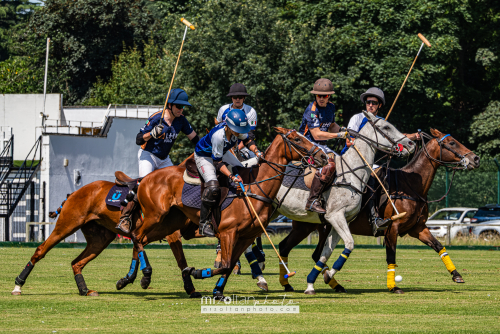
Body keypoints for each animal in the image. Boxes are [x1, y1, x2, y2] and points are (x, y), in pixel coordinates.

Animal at [127, 126, 326, 298]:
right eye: (296, 139)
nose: (323, 156)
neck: (255, 188)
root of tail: (144, 179)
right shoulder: (227, 233)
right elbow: (225, 264)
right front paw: (197, 272)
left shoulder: (246, 236)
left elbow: (229, 266)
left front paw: (218, 292)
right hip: (155, 215)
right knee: (137, 236)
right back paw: (145, 275)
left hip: (169, 222)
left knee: (141, 239)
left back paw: (129, 279)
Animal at [278, 129, 480, 294]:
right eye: (452, 143)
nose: (475, 159)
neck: (412, 186)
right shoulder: (393, 227)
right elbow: (391, 256)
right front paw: (394, 286)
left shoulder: (417, 228)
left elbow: (439, 246)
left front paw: (456, 275)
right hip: (306, 226)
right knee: (294, 248)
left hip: (316, 227)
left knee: (297, 249)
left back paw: (319, 284)